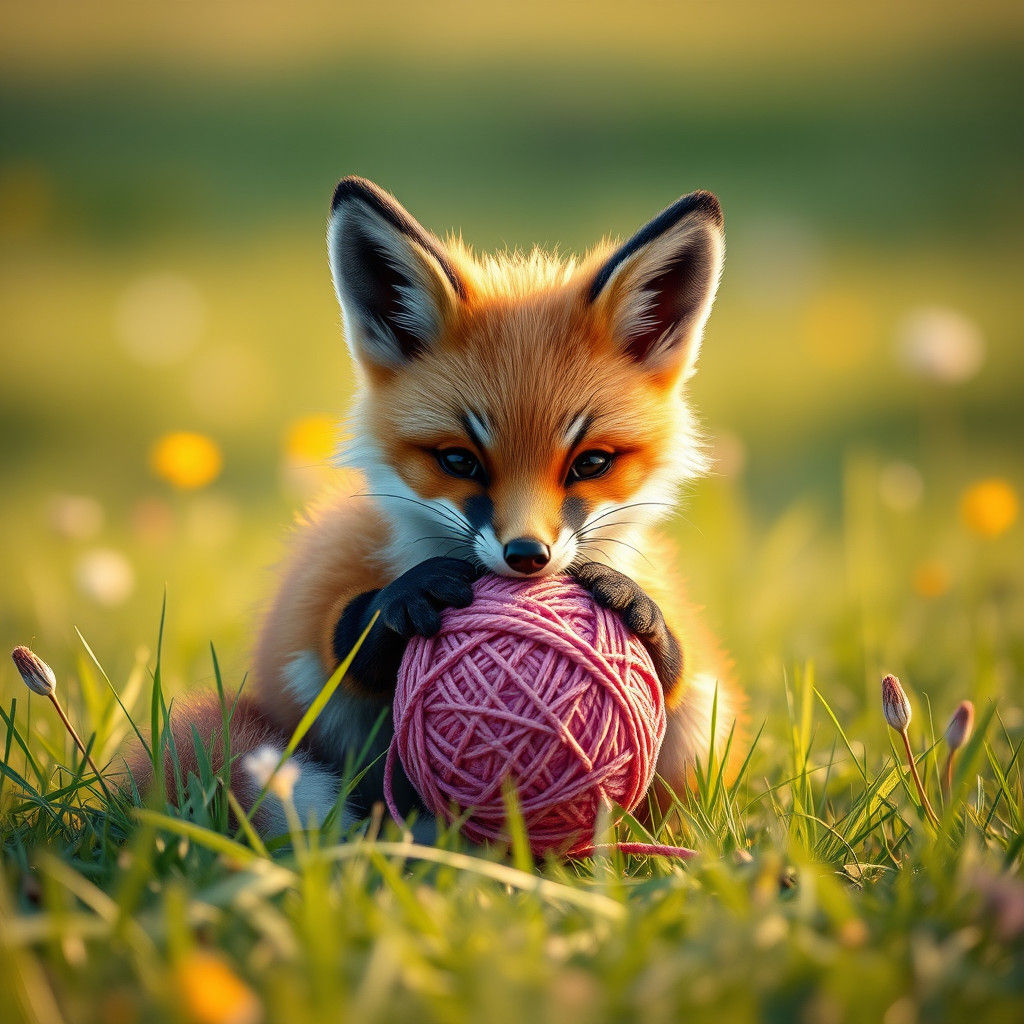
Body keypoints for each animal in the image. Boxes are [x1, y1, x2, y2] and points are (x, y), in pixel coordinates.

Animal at [125, 176, 742, 839]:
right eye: (459, 461)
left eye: (591, 463)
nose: (528, 555)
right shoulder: (307, 619)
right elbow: (333, 646)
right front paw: (400, 600)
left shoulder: (699, 681)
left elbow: (685, 665)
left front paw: (640, 613)